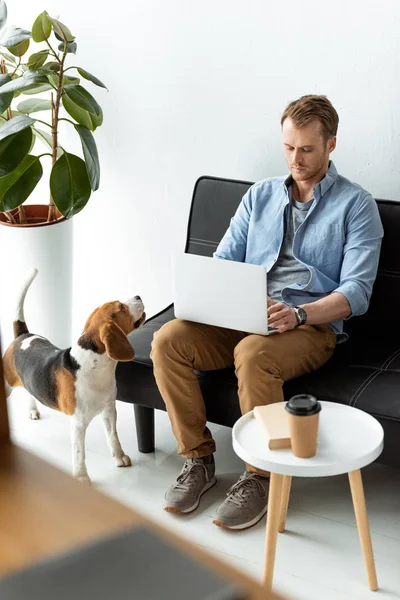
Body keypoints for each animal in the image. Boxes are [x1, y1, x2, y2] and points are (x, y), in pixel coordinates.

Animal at [3, 270, 145, 486]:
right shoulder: (78, 423)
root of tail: (23, 335)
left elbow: (113, 436)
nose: (138, 296)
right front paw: (81, 477)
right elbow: (79, 453)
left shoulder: (109, 409)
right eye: (121, 306)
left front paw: (119, 457)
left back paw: (33, 410)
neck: (94, 366)